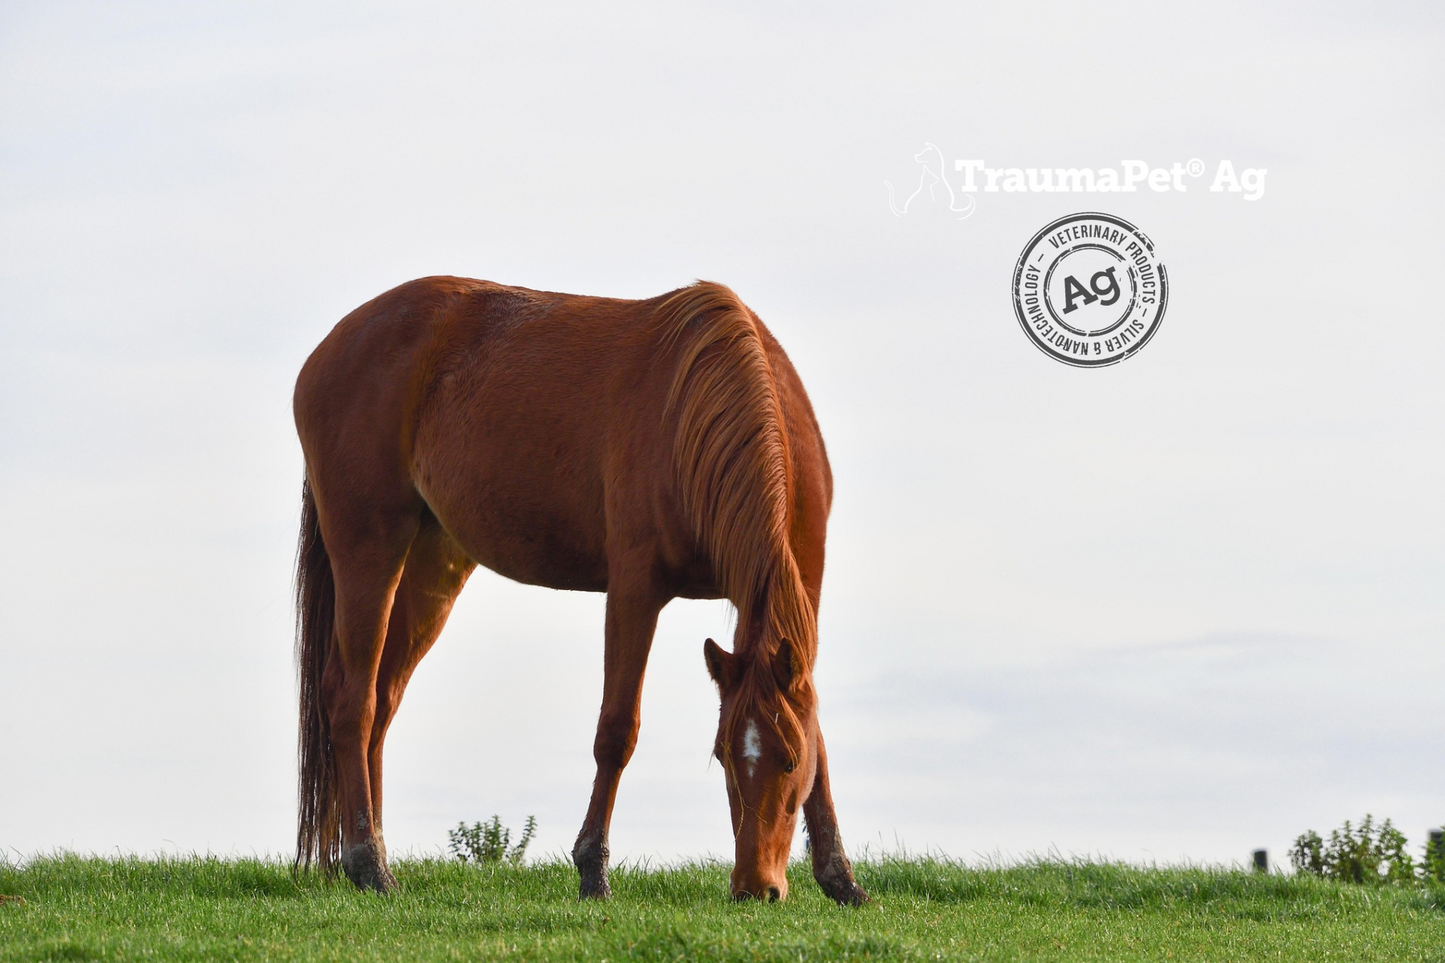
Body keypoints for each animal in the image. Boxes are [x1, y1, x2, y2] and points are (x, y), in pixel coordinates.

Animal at [292, 276, 867, 904]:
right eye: (722, 758)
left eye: (788, 761)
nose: (754, 887)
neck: (705, 405)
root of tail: (330, 348)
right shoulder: (636, 589)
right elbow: (616, 730)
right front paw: (593, 868)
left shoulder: (801, 595)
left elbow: (819, 736)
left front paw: (840, 876)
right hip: (369, 550)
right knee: (353, 699)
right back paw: (368, 863)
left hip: (430, 567)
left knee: (383, 701)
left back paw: (372, 853)